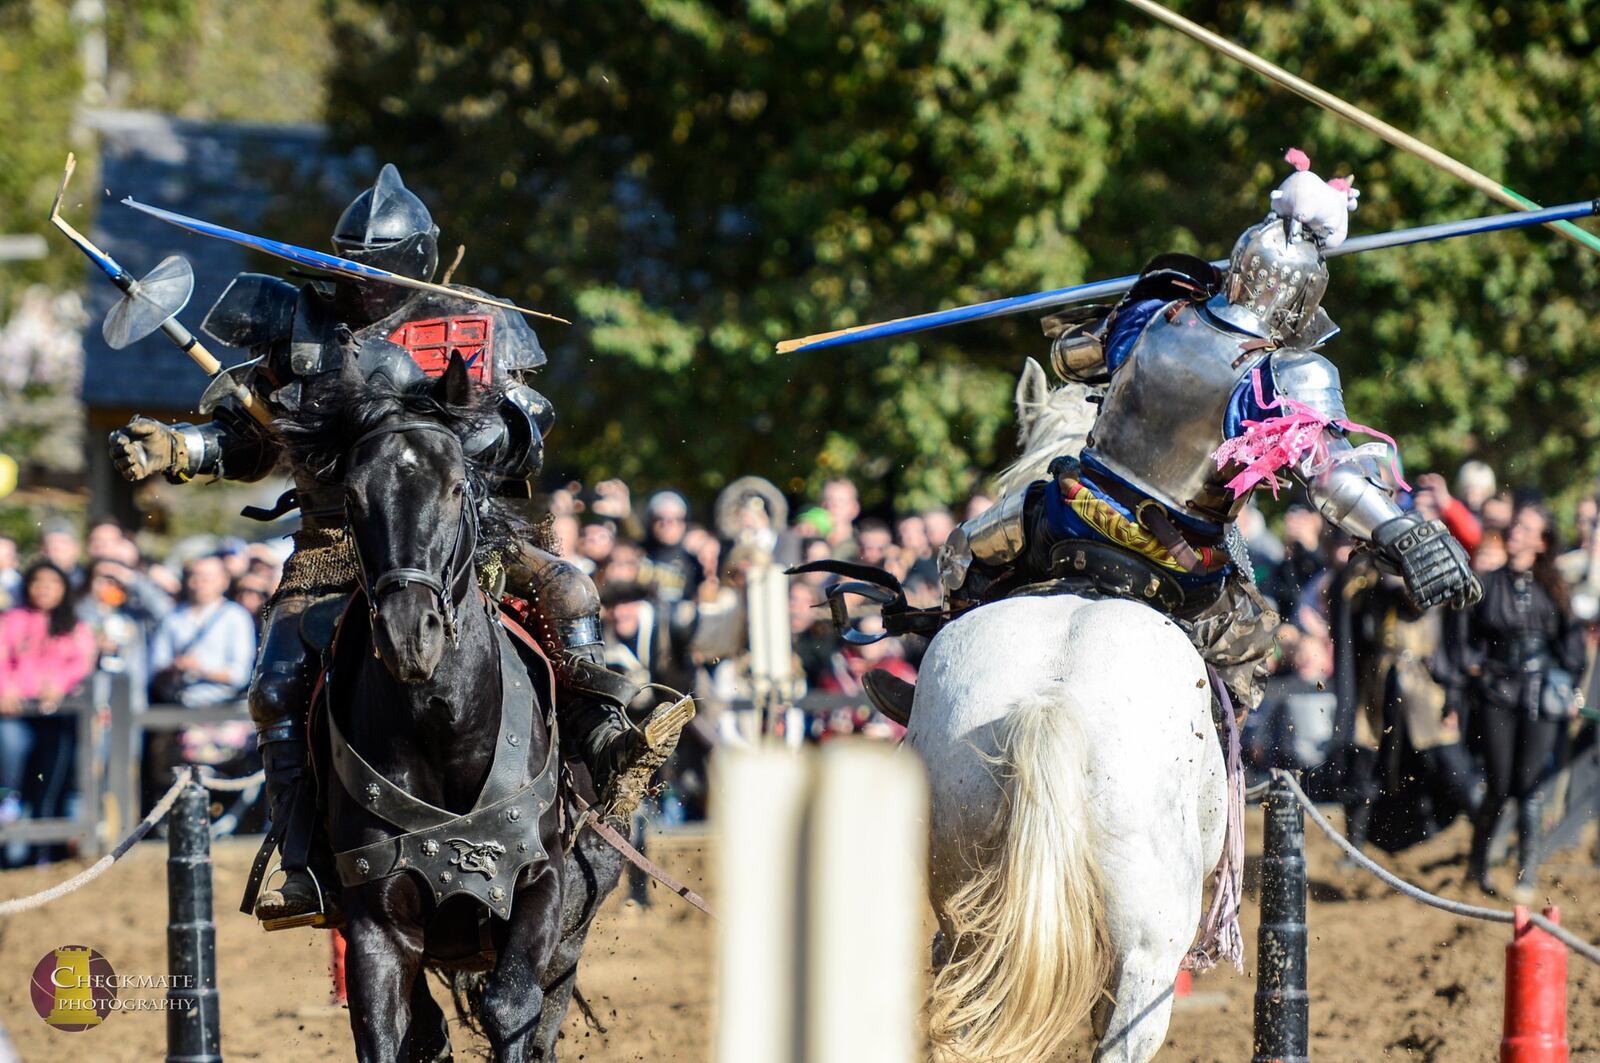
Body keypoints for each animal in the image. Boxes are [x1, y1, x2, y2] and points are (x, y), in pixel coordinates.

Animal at [291, 352, 627, 1056]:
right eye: (354, 498)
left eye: (453, 488)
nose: (408, 634)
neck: (442, 731)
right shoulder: (376, 923)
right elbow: (388, 1033)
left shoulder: (542, 884)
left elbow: (512, 1007)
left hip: (574, 930)